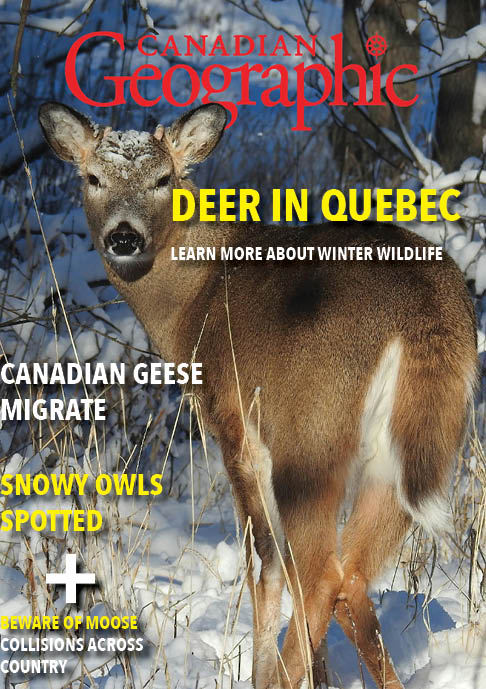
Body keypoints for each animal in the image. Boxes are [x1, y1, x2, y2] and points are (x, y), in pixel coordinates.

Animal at [38, 101, 477, 689]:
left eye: (162, 179)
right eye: (92, 178)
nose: (124, 236)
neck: (193, 301)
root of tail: (422, 310)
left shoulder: (234, 427)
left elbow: (264, 562)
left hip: (309, 435)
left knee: (322, 573)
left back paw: (283, 677)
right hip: (416, 447)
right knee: (352, 574)